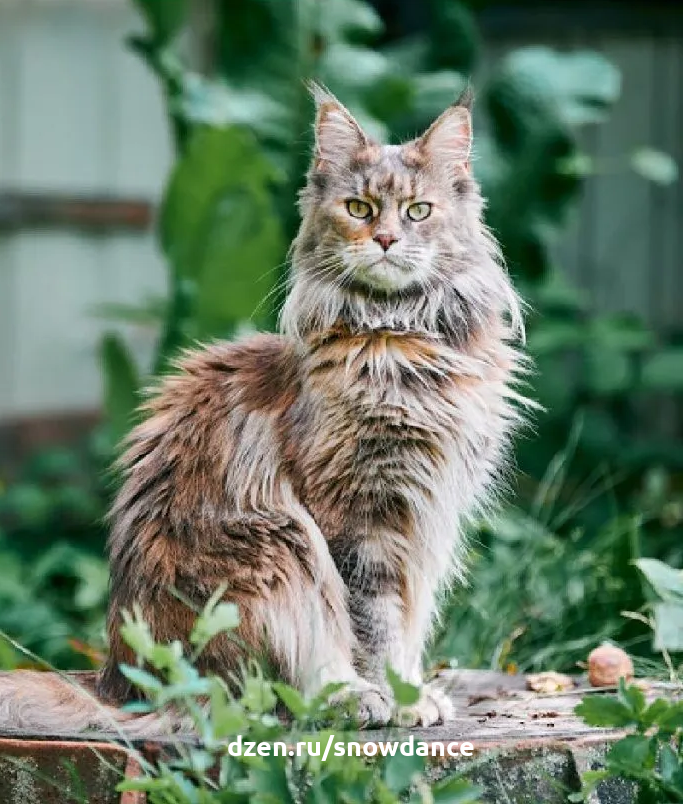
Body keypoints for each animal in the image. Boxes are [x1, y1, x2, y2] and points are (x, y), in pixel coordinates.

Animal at [0, 85, 528, 732]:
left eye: (418, 212)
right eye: (358, 208)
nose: (384, 240)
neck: (400, 338)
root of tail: (124, 687)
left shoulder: (427, 518)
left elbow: (406, 624)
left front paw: (414, 694)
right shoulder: (360, 517)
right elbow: (374, 625)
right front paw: (391, 699)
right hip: (279, 550)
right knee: (261, 698)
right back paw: (349, 699)